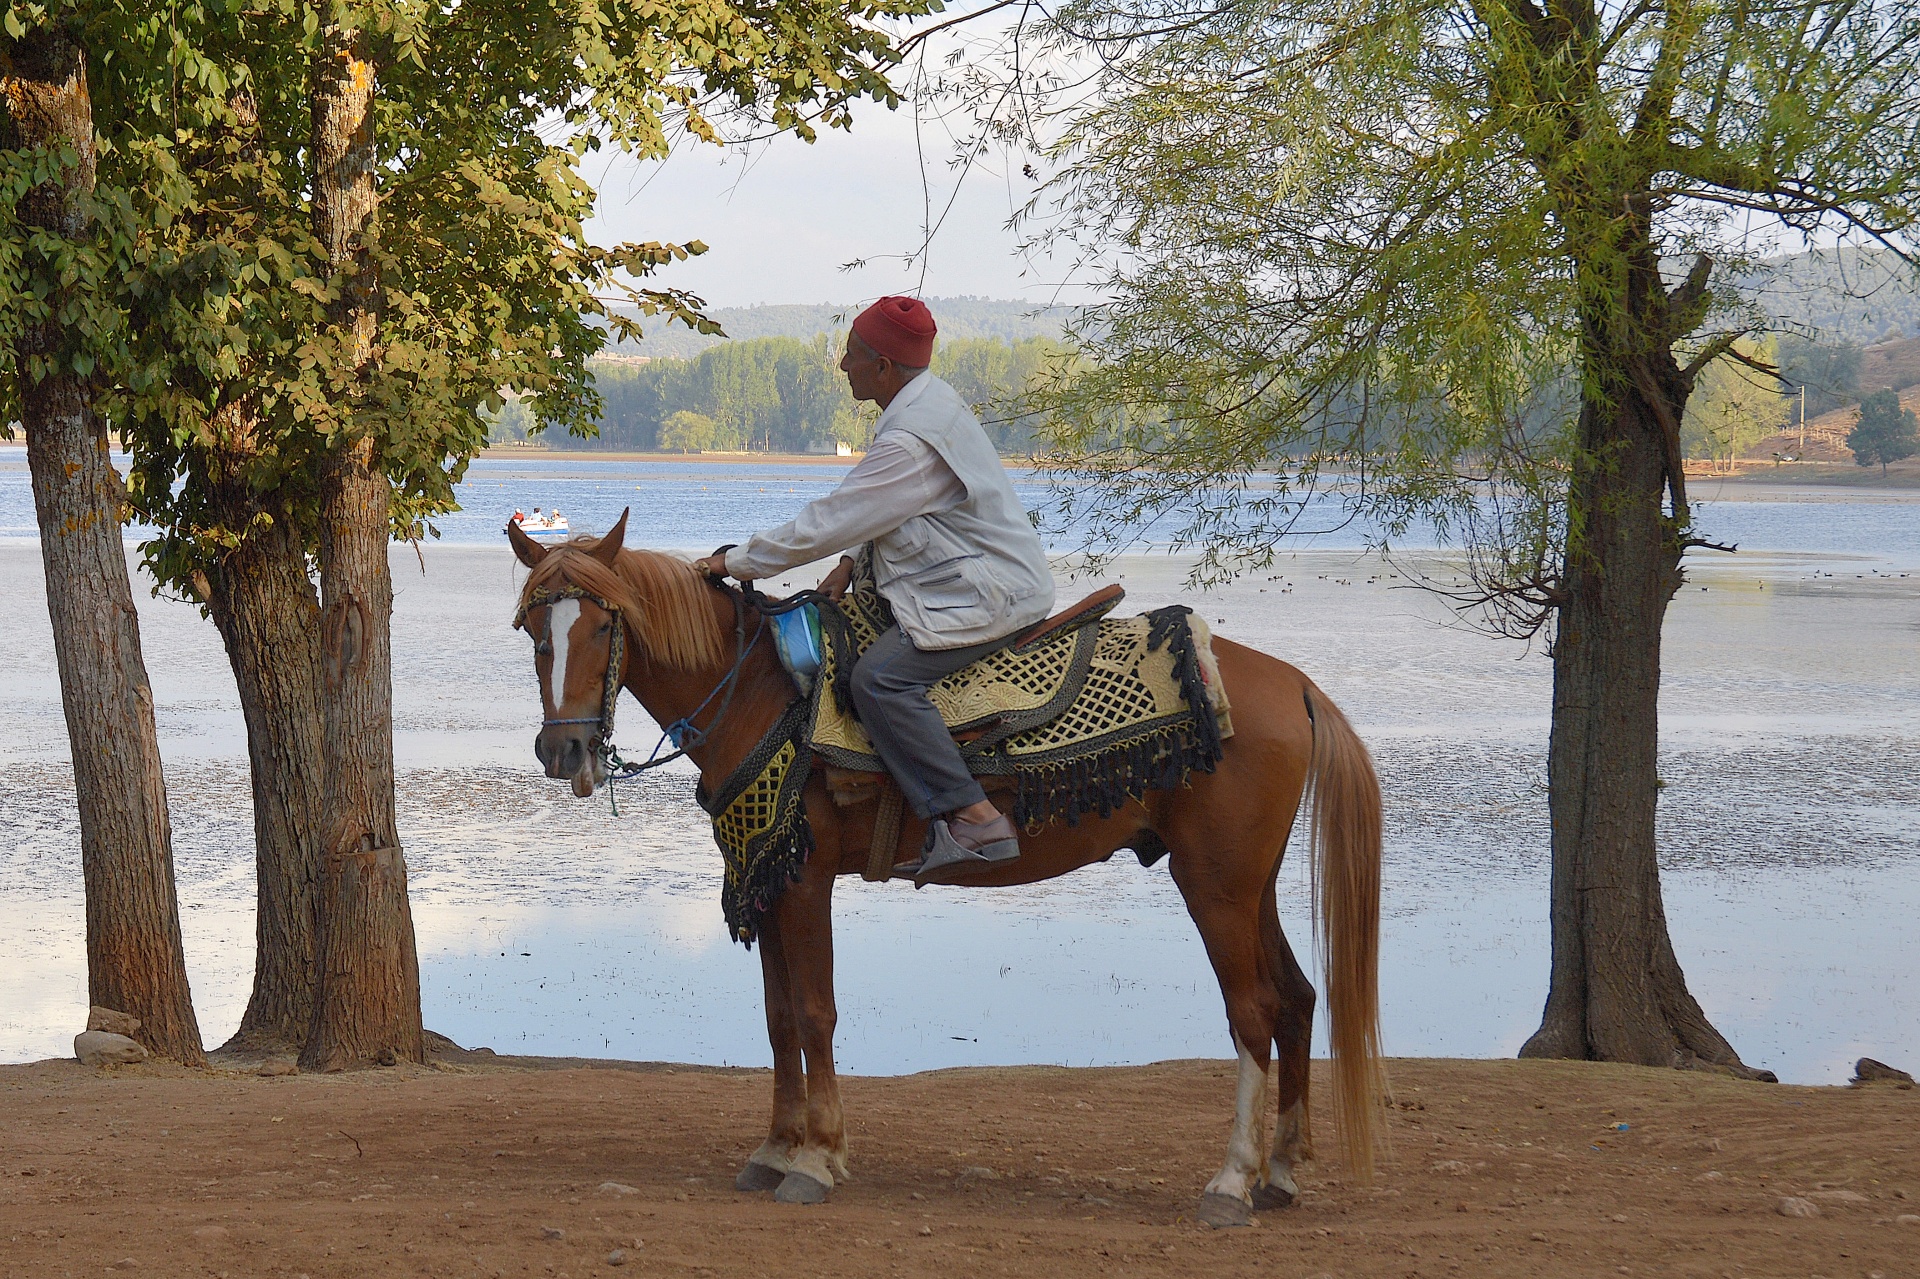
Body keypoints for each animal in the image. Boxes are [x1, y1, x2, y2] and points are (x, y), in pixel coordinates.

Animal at [510, 514, 1382, 1221]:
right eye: (535, 633)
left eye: (604, 627)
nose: (564, 751)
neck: (758, 691)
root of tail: (1296, 684)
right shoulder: (769, 878)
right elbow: (779, 1017)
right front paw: (774, 1148)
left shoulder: (803, 881)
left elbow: (816, 1013)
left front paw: (817, 1157)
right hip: (1250, 884)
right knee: (1298, 998)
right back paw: (1280, 1171)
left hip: (1215, 885)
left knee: (1254, 1011)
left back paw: (1232, 1179)